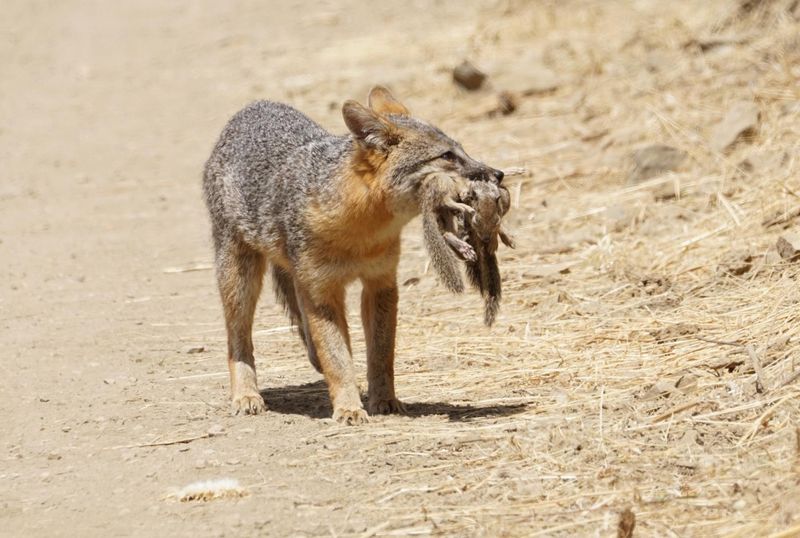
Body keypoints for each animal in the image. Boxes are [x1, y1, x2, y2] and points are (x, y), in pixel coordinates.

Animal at [202, 86, 504, 425]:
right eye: (447, 156)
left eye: (461, 150)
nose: (498, 174)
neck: (361, 234)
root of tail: (255, 107)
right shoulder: (322, 292)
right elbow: (338, 357)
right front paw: (348, 407)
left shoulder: (381, 284)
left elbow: (381, 354)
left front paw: (385, 400)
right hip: (240, 280)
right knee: (237, 341)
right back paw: (246, 395)